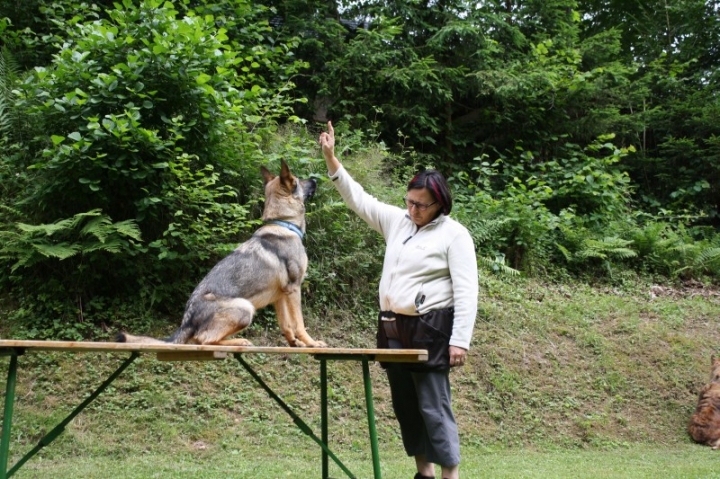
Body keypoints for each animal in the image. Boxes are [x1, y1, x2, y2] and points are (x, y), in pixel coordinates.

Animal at [117, 161, 326, 348]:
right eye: (297, 180)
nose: (315, 179)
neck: (284, 223)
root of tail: (186, 321)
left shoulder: (281, 296)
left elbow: (286, 326)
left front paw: (294, 344)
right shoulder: (294, 289)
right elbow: (299, 324)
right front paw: (312, 343)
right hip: (246, 308)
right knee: (203, 339)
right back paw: (238, 341)